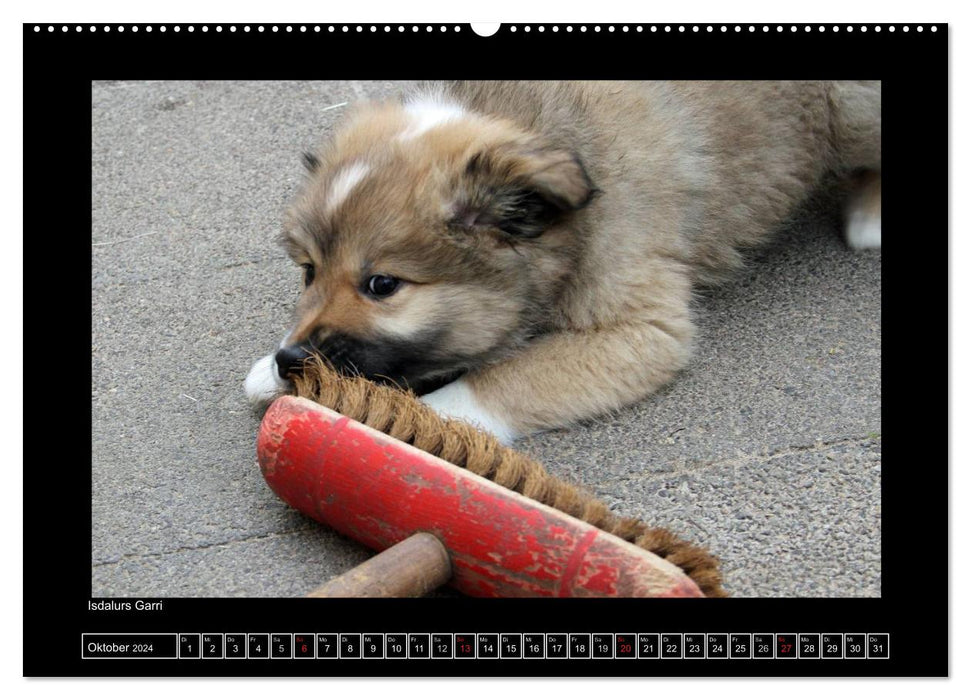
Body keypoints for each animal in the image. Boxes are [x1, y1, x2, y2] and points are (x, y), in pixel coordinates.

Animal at [245, 80, 880, 442]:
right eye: (308, 271)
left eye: (381, 284)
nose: (291, 359)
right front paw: (269, 374)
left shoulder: (642, 330)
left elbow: (498, 380)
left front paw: (419, 421)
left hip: (852, 109)